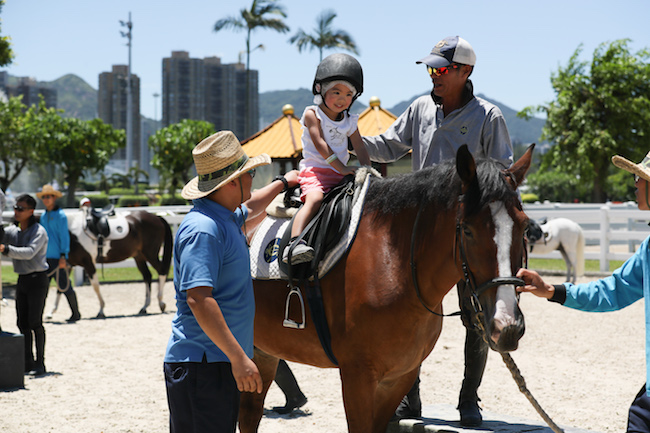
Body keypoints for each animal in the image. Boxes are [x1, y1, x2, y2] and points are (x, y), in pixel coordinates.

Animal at [238, 145, 532, 432]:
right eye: (468, 230)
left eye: (524, 225)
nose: (507, 325)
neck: (393, 261)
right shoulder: (357, 377)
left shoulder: (399, 377)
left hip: (261, 353)